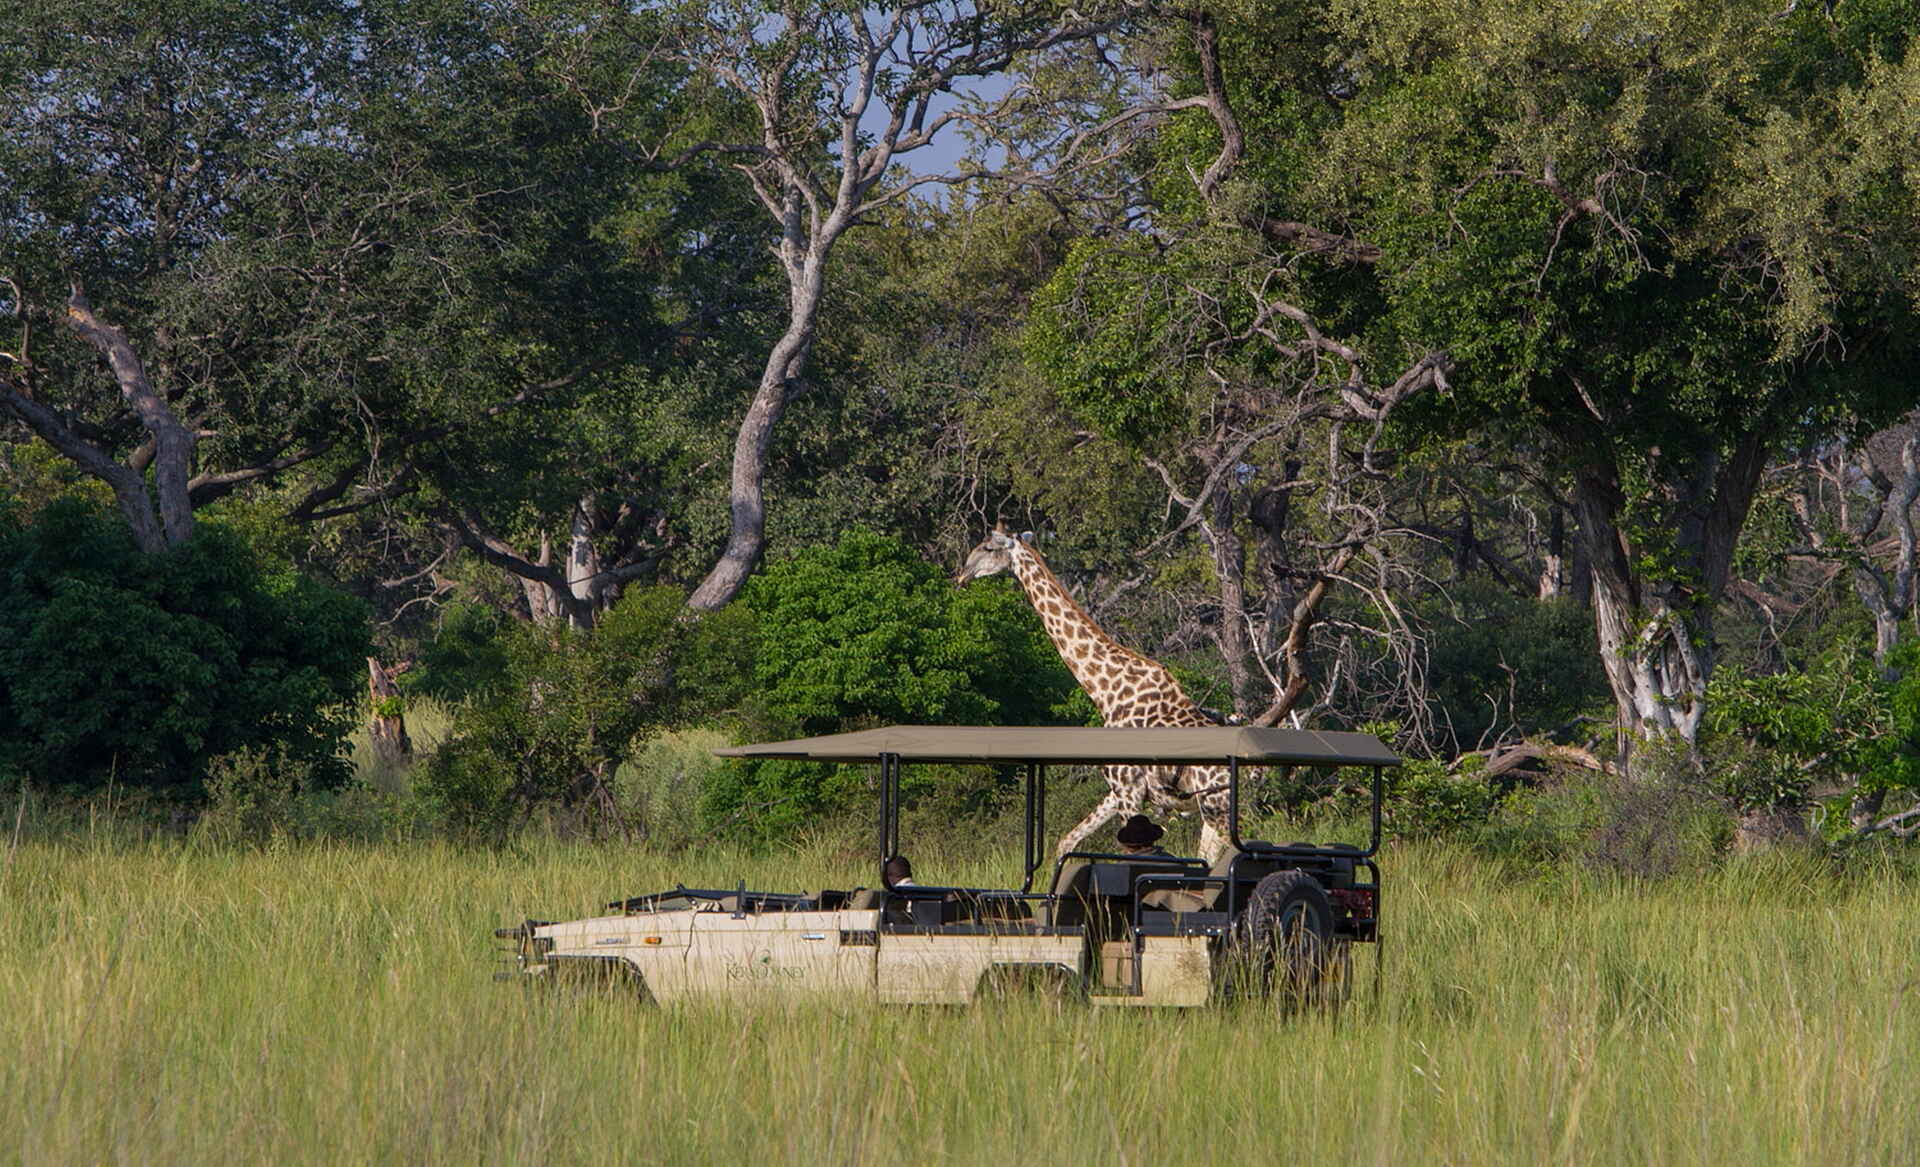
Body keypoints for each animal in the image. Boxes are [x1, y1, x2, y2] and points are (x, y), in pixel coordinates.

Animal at [955, 525, 1235, 862]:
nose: (961, 575)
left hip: (1216, 808)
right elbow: (1067, 841)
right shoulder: (1117, 791)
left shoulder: (1128, 789)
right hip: (1211, 811)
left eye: (987, 547)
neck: (1107, 691)